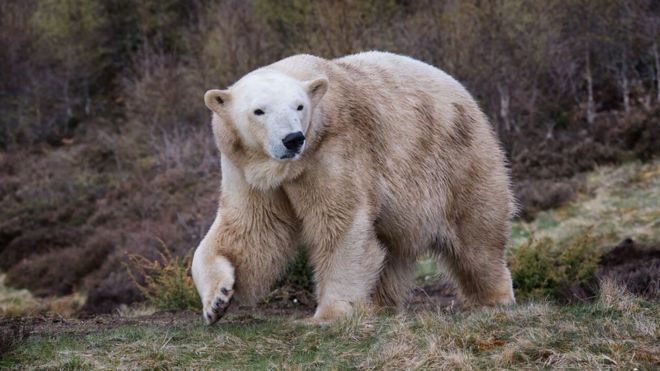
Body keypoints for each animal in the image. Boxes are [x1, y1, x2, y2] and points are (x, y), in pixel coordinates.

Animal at [191, 51, 516, 326]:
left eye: (299, 106)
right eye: (259, 111)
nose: (293, 139)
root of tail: (465, 93)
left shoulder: (332, 149)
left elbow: (340, 221)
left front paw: (331, 313)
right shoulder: (247, 170)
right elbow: (251, 230)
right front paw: (216, 301)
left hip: (458, 160)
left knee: (476, 237)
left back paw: (493, 298)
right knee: (391, 248)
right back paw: (381, 304)